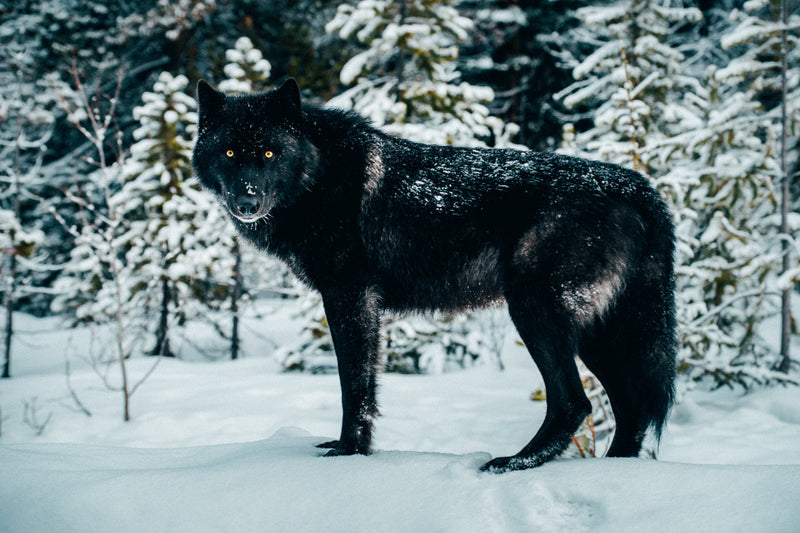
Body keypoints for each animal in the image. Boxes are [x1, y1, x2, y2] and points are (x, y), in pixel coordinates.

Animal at [192, 78, 676, 472]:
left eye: (269, 152)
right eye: (230, 152)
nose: (247, 202)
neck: (319, 177)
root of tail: (637, 185)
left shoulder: (348, 296)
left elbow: (354, 385)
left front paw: (349, 453)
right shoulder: (364, 305)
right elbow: (366, 384)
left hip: (537, 312)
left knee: (575, 402)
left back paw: (515, 462)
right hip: (600, 332)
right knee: (632, 407)